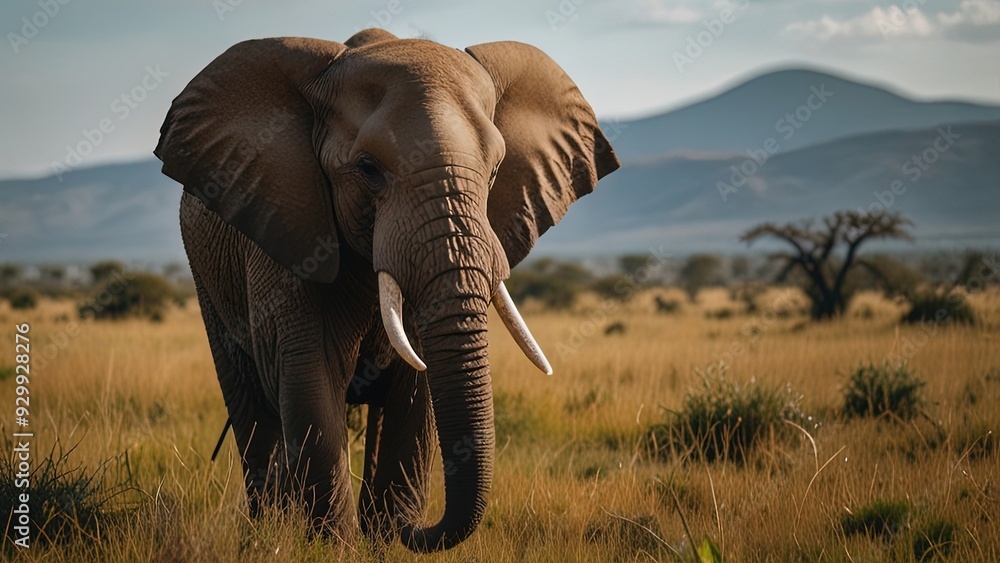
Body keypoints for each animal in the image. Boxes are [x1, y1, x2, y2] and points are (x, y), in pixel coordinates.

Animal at [154, 28, 619, 552]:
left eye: (497, 169)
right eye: (367, 168)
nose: (414, 526)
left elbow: (415, 394)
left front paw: (384, 537)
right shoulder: (286, 230)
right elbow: (311, 378)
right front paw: (334, 548)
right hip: (207, 279)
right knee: (252, 409)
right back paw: (265, 528)